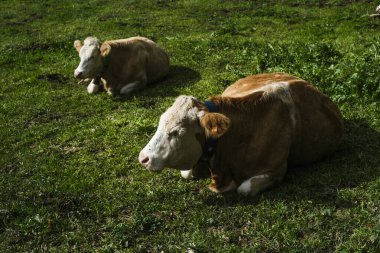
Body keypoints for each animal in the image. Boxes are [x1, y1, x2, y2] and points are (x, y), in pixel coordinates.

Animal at [138, 72, 342, 197]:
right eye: (160, 122)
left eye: (177, 132)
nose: (143, 158)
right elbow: (186, 173)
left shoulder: (277, 170)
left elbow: (244, 189)